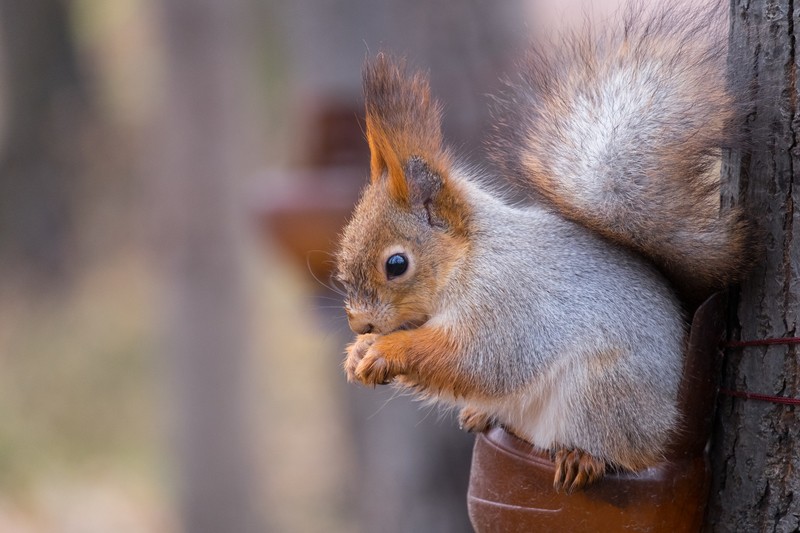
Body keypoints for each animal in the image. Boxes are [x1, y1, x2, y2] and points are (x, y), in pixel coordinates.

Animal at [334, 0, 752, 492]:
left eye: (396, 264)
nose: (360, 324)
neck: (470, 258)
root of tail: (672, 425)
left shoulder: (510, 306)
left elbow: (476, 359)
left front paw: (387, 350)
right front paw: (358, 352)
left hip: (604, 393)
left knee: (625, 451)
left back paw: (582, 457)